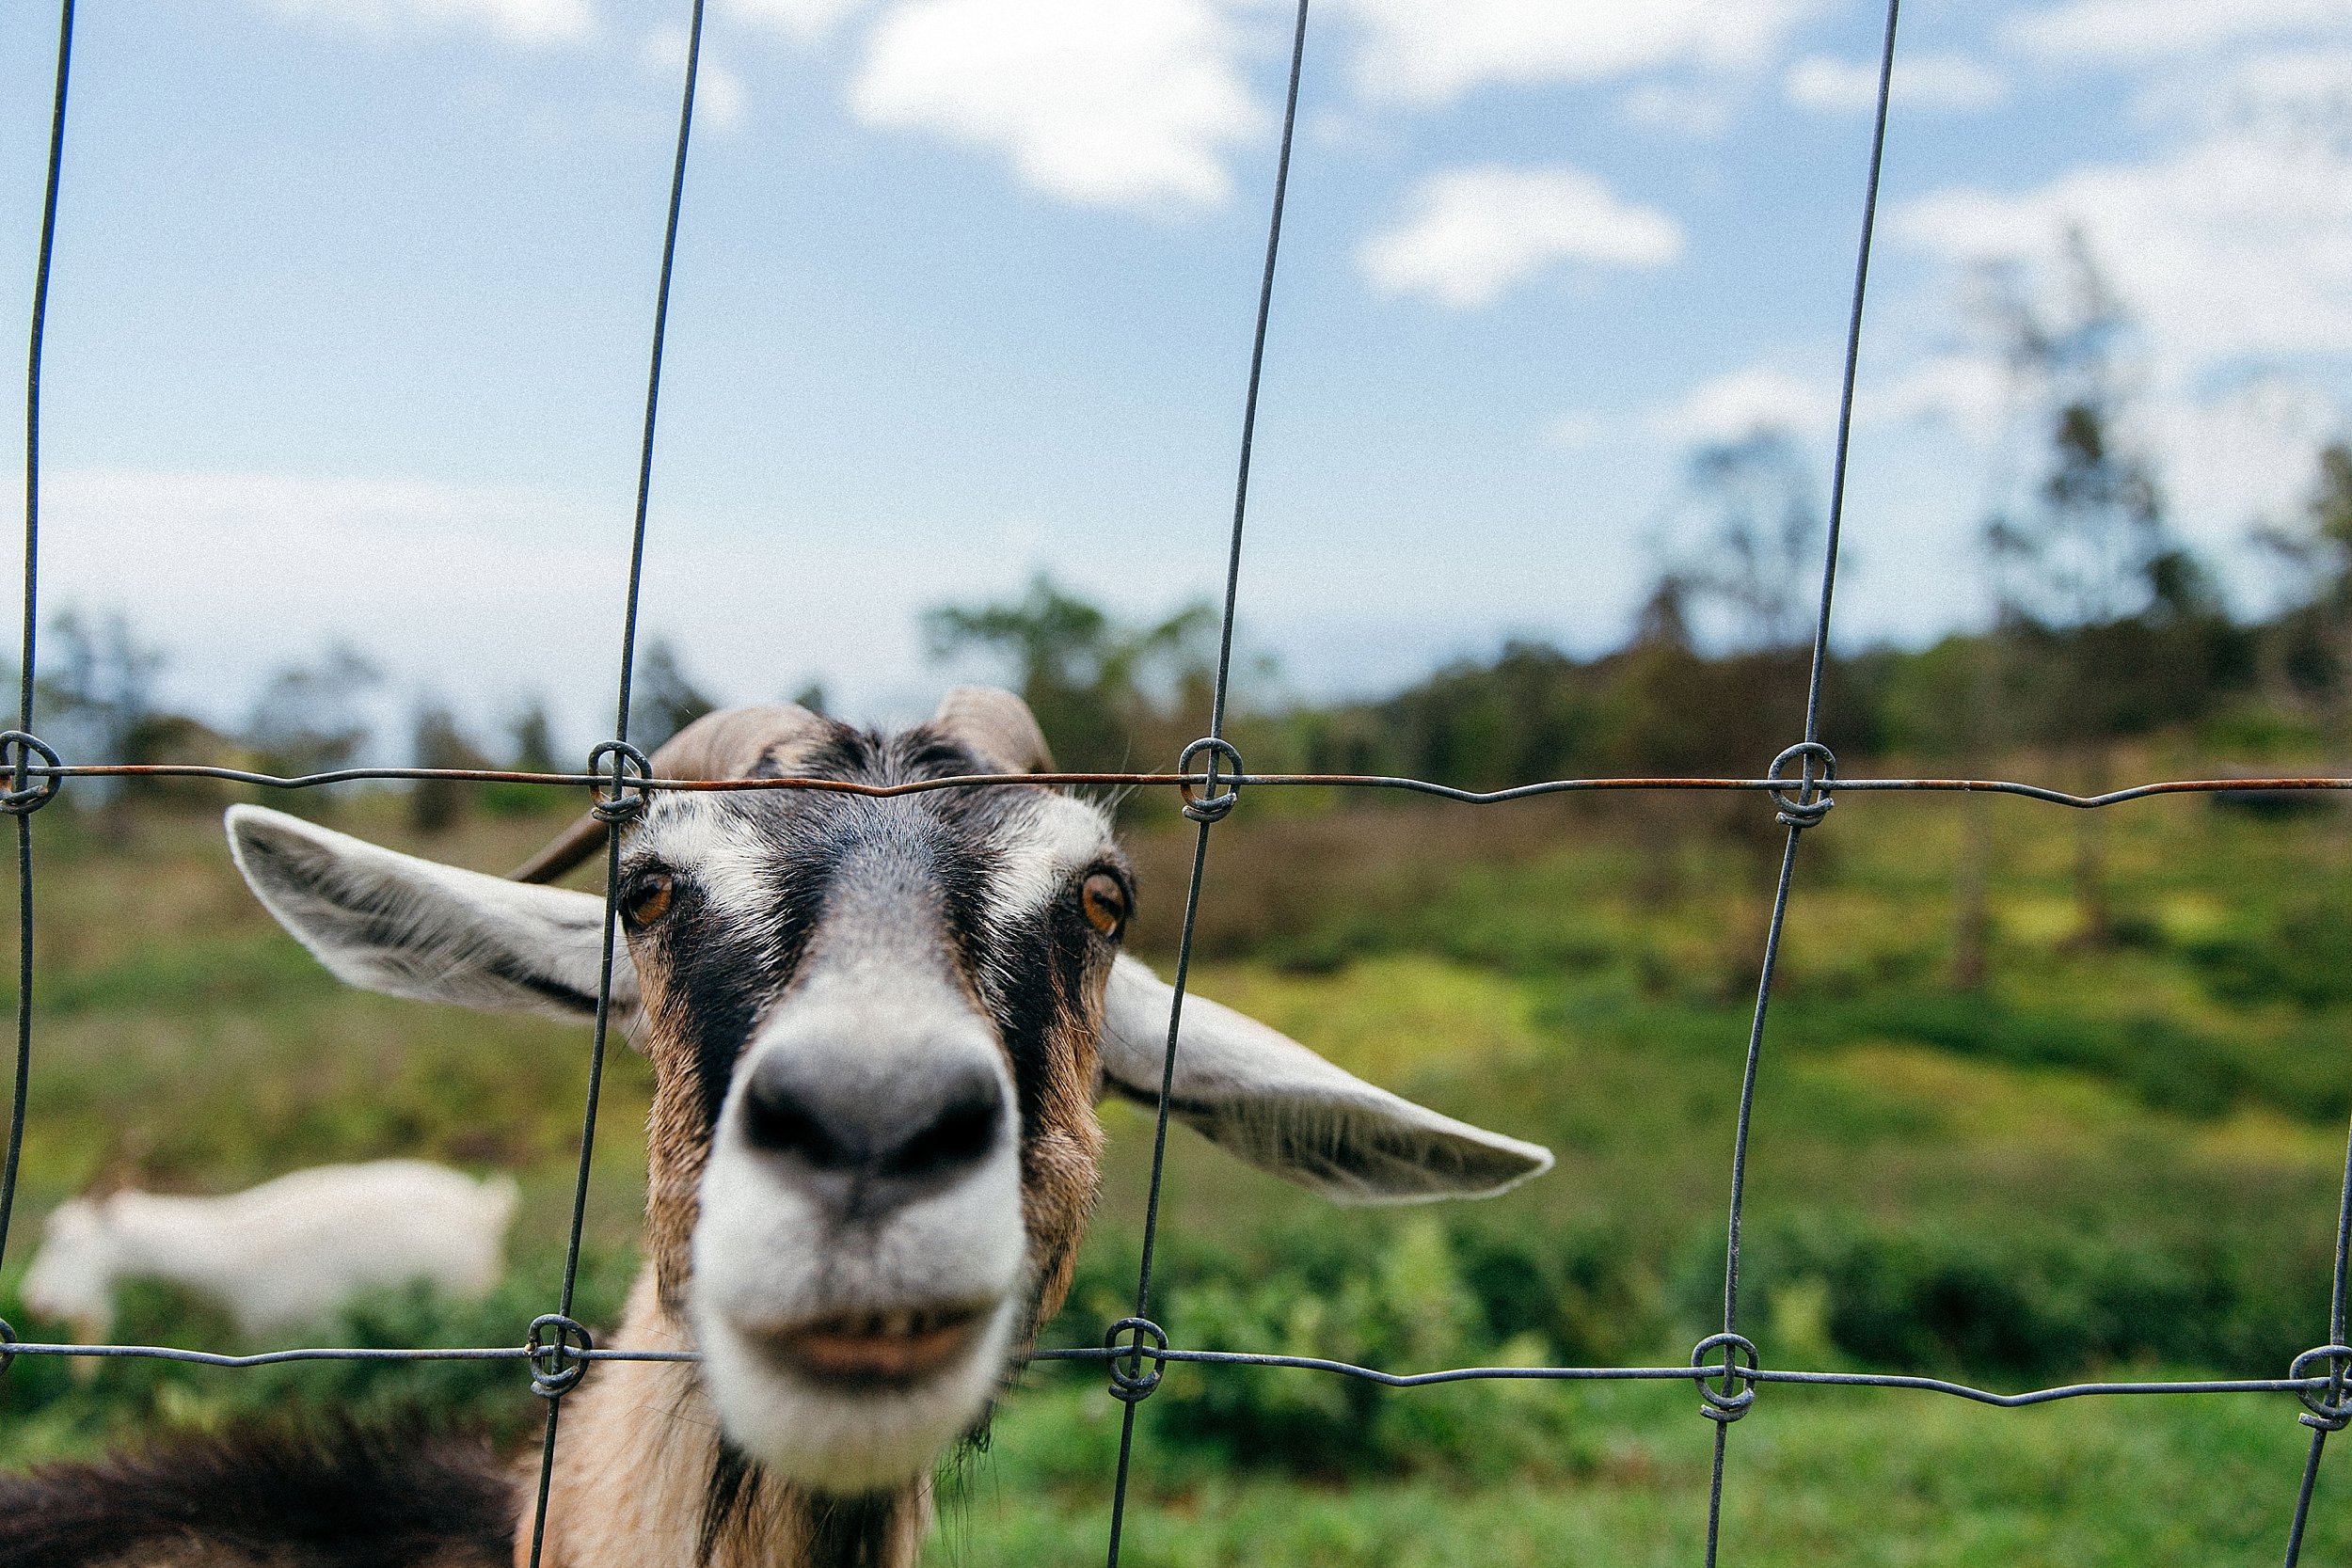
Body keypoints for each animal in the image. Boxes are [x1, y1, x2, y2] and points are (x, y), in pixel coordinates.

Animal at [21, 1161, 517, 1344]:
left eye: (61, 1237)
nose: (34, 1301)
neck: (233, 1246)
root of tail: (485, 1209)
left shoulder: (322, 1328)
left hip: (463, 1292)